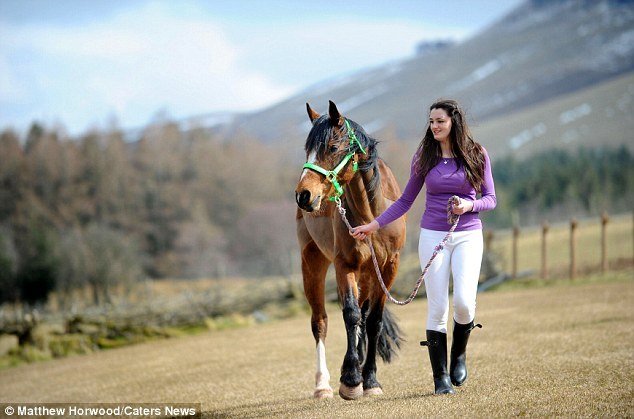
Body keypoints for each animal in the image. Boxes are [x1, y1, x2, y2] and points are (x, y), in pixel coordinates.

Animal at [294, 101, 406, 400]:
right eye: (307, 149)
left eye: (332, 147)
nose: (303, 195)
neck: (372, 214)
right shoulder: (345, 265)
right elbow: (350, 315)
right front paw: (351, 379)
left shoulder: (389, 267)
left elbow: (373, 321)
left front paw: (370, 380)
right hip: (312, 262)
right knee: (320, 321)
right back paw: (322, 385)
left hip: (368, 274)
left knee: (364, 319)